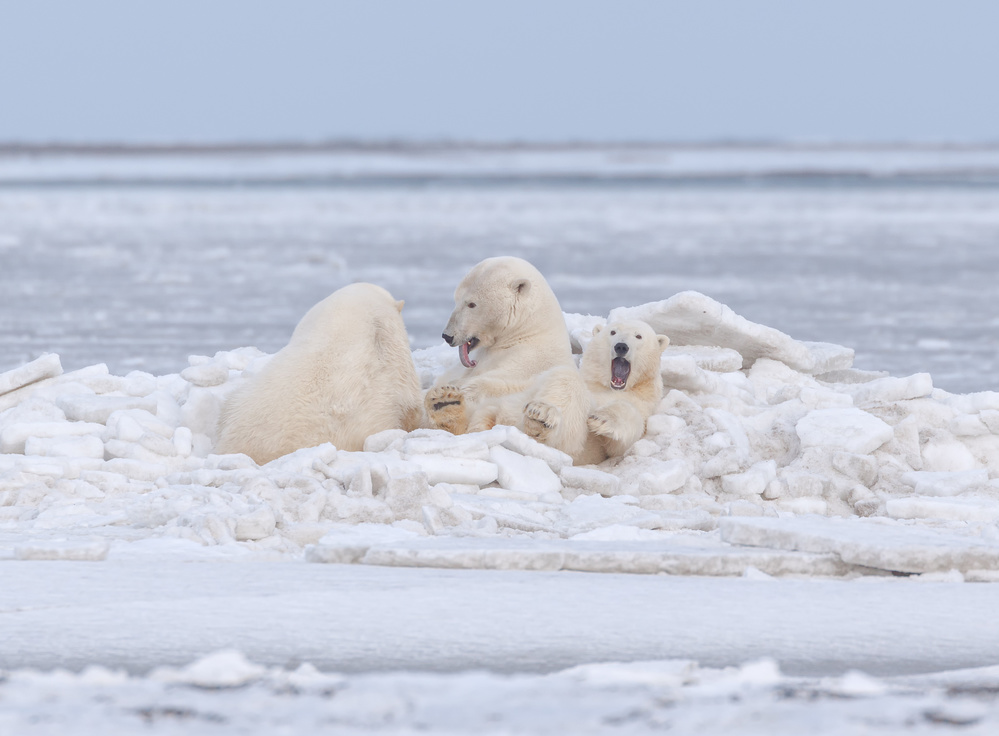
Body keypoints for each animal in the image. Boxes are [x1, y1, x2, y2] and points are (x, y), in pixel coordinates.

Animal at [424, 256, 592, 458]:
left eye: (471, 304)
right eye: (456, 299)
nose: (447, 335)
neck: (525, 334)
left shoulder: (527, 362)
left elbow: (490, 384)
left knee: (566, 384)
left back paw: (540, 417)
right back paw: (445, 404)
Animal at [576, 320, 668, 462]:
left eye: (638, 336)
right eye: (613, 332)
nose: (621, 347)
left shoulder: (643, 402)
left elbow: (619, 445)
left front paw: (601, 419)